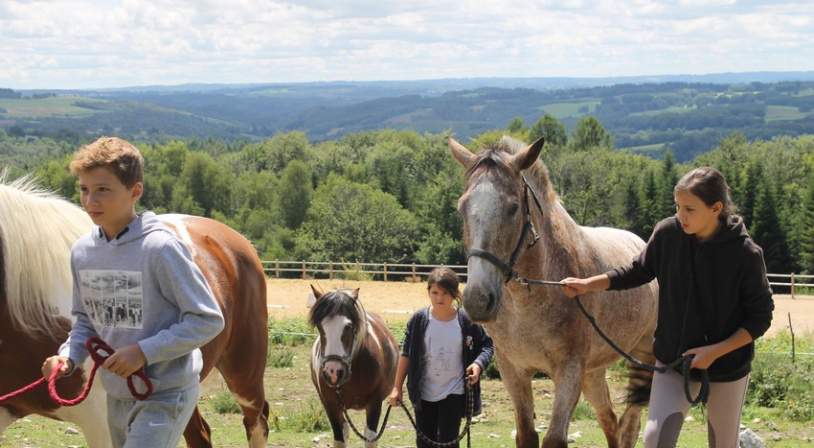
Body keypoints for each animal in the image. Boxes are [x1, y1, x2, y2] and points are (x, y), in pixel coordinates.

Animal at [308, 288, 400, 448]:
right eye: (320, 326)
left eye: (349, 327)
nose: (333, 372)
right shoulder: (330, 404)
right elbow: (339, 439)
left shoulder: (375, 403)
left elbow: (370, 438)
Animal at [452, 137, 664, 448]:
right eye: (462, 208)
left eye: (513, 208)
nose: (478, 300)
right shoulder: (513, 370)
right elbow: (527, 434)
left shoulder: (569, 370)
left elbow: (554, 438)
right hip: (593, 372)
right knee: (610, 421)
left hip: (642, 358)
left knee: (629, 425)